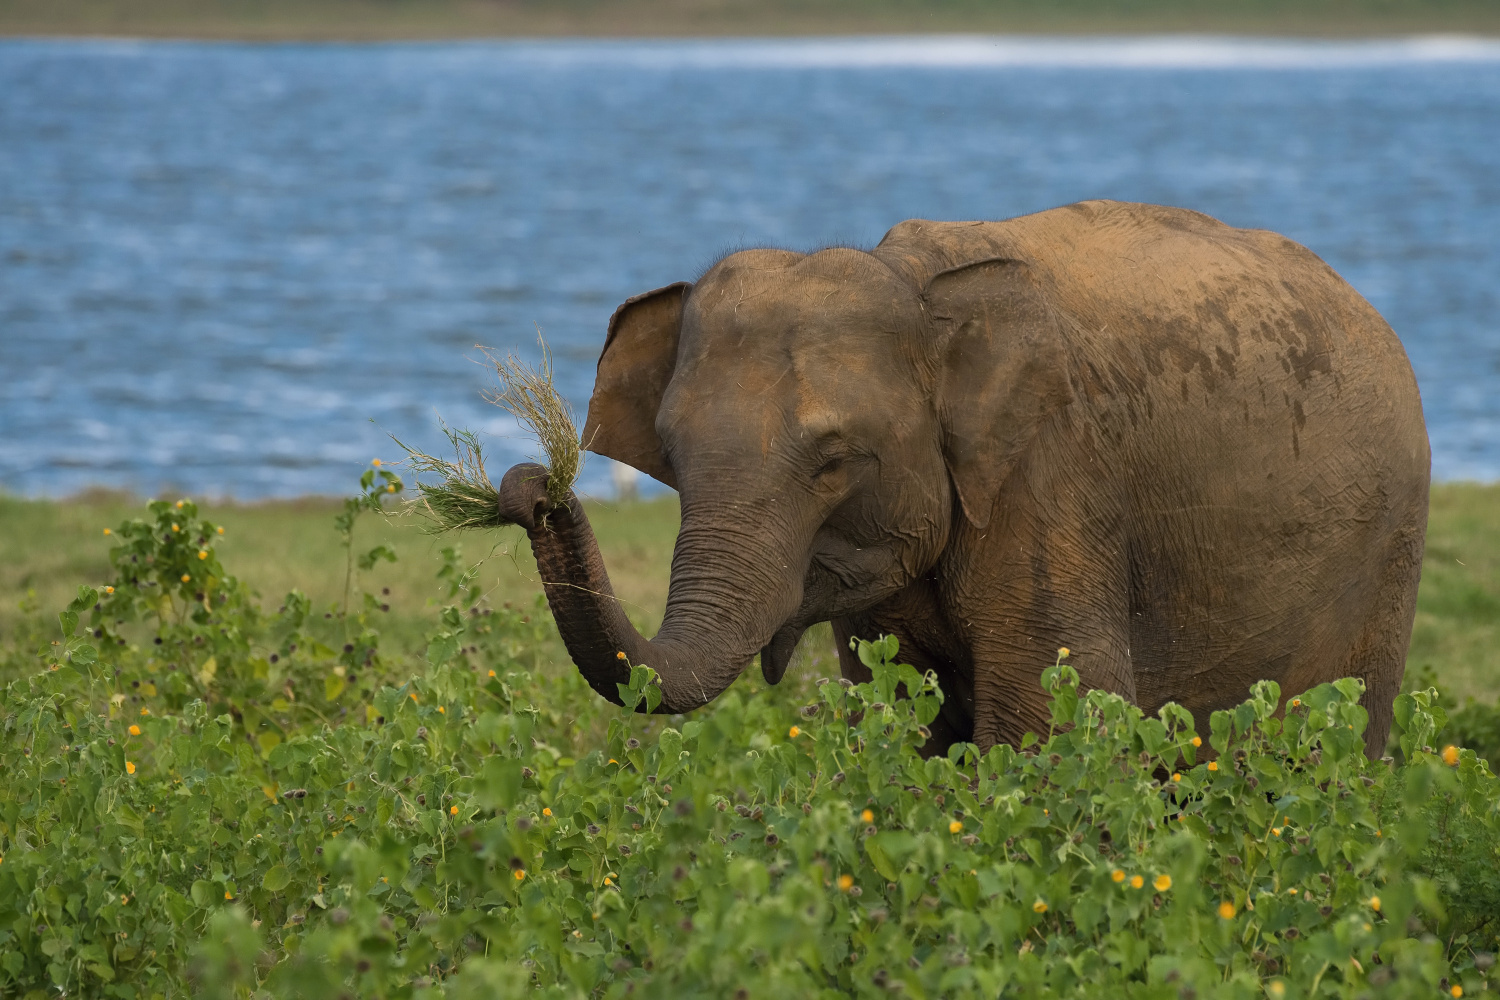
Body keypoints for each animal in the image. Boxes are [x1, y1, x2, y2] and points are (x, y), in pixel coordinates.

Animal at [495, 197, 1428, 758]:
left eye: (835, 462)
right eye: (674, 456)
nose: (529, 487)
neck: (916, 287)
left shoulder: (1052, 477)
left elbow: (1049, 722)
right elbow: (908, 717)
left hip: (1384, 556)